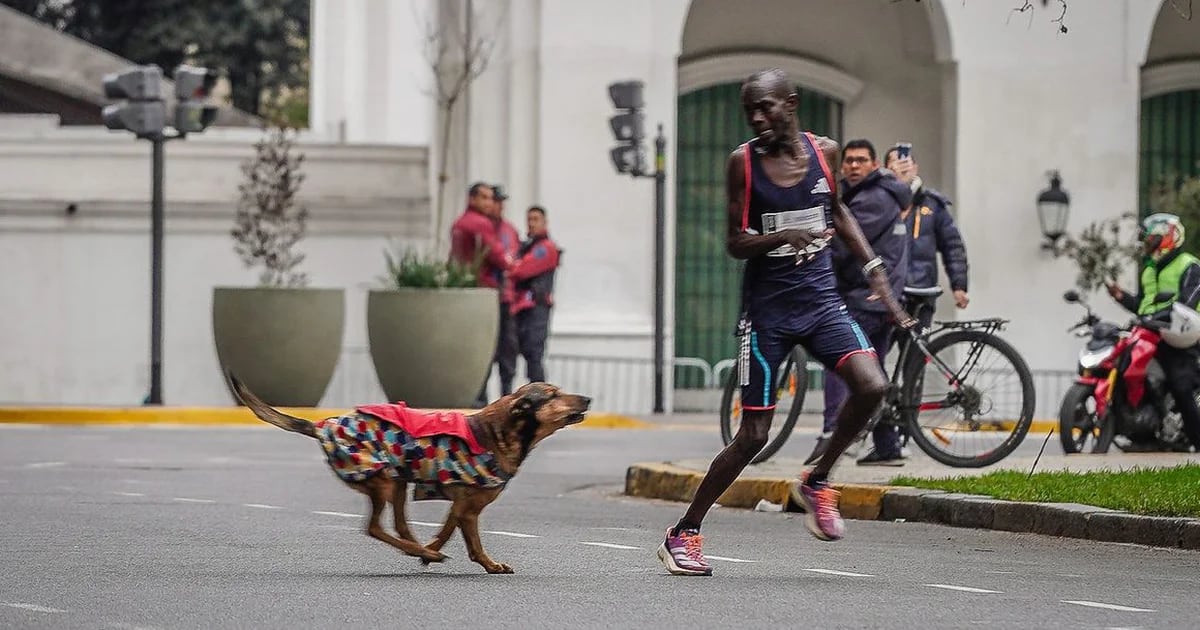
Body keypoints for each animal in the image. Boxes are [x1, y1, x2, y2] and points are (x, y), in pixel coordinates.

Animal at [225, 372, 590, 571]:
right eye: (553, 395)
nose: (587, 398)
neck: (498, 433)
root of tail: (324, 426)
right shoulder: (469, 508)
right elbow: (471, 541)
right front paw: (481, 563)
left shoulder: (462, 506)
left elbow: (449, 530)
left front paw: (436, 551)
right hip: (383, 479)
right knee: (375, 527)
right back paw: (419, 549)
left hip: (397, 480)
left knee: (399, 525)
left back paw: (417, 548)